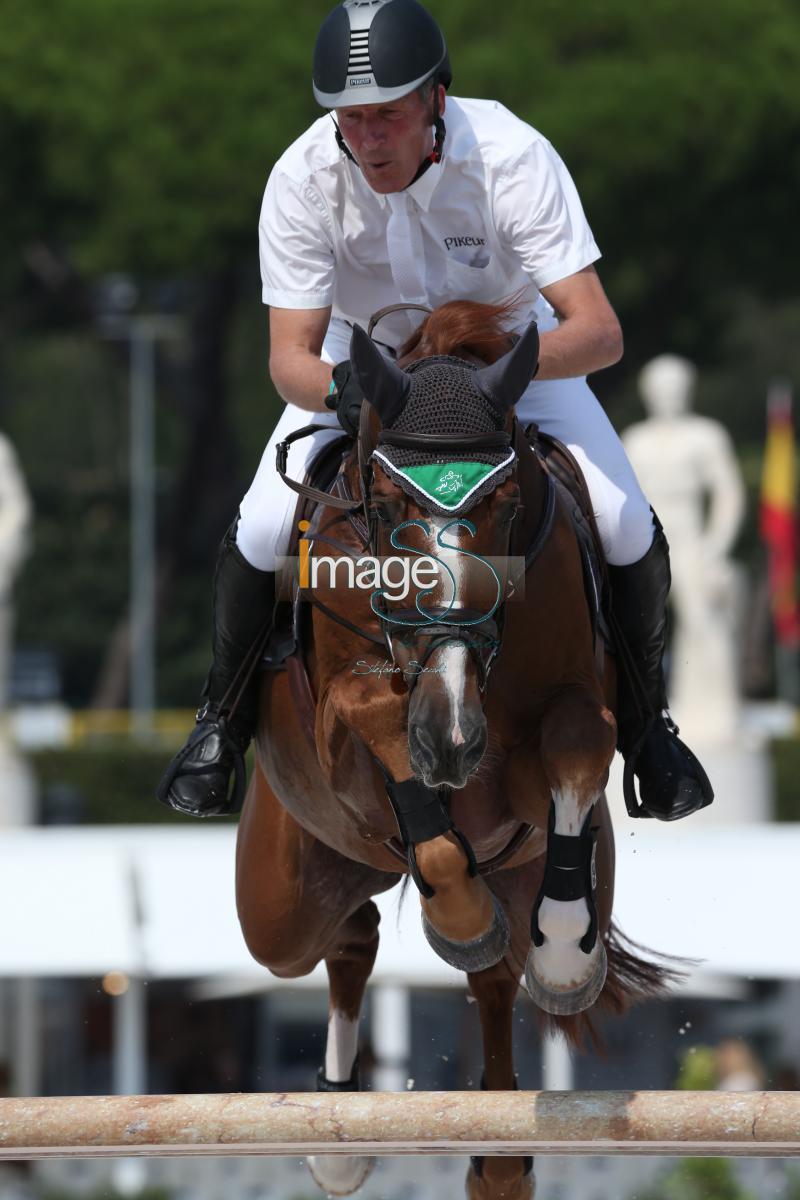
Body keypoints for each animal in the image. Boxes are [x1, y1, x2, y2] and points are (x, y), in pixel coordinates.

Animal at [235, 302, 671, 1200]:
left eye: (504, 499)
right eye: (385, 500)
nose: (455, 734)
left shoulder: (549, 754)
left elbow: (577, 740)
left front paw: (565, 955)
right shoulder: (343, 728)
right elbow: (379, 721)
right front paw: (458, 904)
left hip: (525, 868)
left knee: (494, 971)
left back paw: (499, 1152)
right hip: (281, 897)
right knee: (344, 937)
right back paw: (339, 1135)